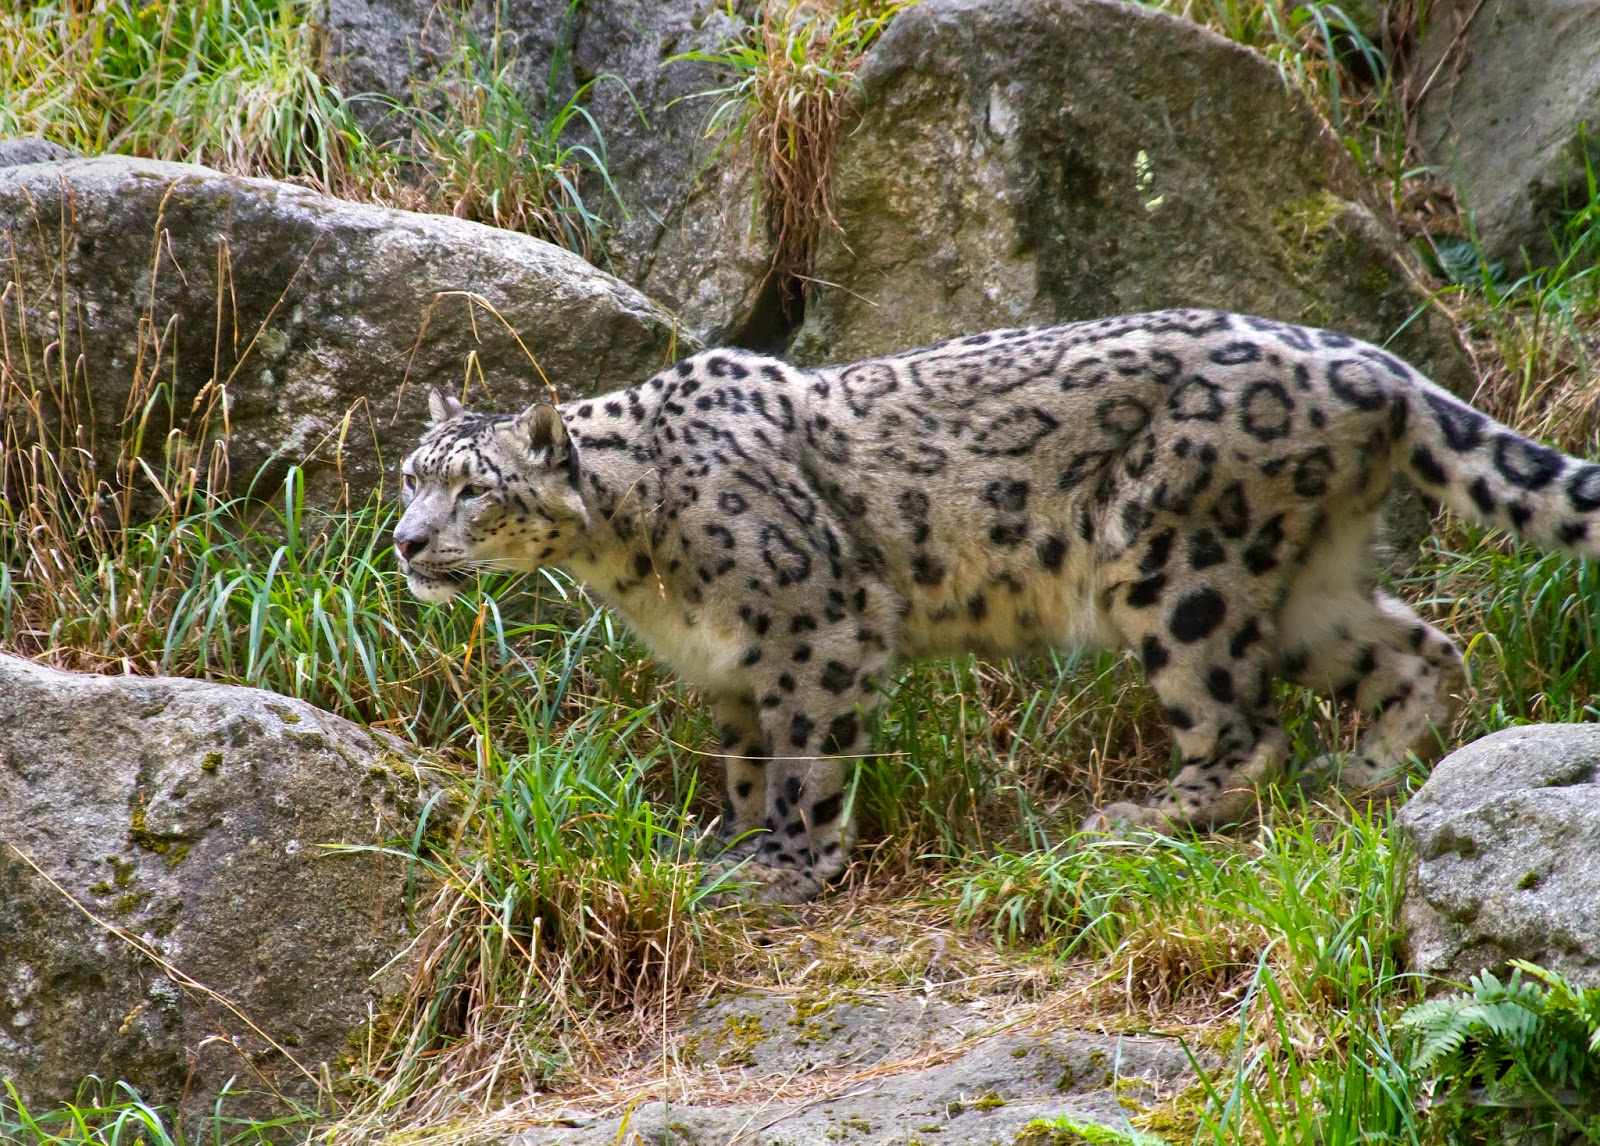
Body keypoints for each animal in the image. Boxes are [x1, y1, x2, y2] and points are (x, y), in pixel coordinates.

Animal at [394, 308, 1600, 903]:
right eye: (411, 473)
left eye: (473, 489)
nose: (404, 543)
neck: (633, 560)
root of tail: (1373, 363)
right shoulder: (731, 669)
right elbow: (744, 764)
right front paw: (727, 845)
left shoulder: (818, 627)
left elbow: (804, 761)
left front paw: (787, 868)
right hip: (1306, 582)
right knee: (1419, 649)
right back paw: (1365, 776)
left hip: (1176, 566)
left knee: (1240, 722)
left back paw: (1144, 818)